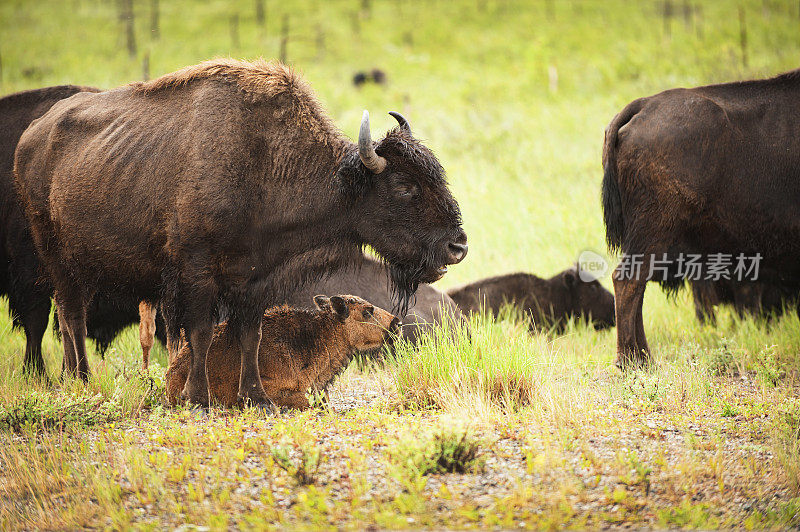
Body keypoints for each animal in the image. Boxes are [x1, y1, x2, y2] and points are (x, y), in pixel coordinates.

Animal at [14, 59, 468, 408]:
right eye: (405, 186)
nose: (457, 246)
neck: (266, 163)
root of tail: (31, 136)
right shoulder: (197, 271)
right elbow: (199, 333)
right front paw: (198, 398)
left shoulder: (256, 279)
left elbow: (251, 334)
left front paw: (257, 397)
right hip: (59, 260)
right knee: (72, 317)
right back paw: (81, 379)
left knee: (70, 316)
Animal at [604, 68, 800, 368]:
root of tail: (644, 104)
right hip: (653, 232)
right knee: (628, 282)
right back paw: (633, 363)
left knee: (636, 286)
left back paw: (644, 358)